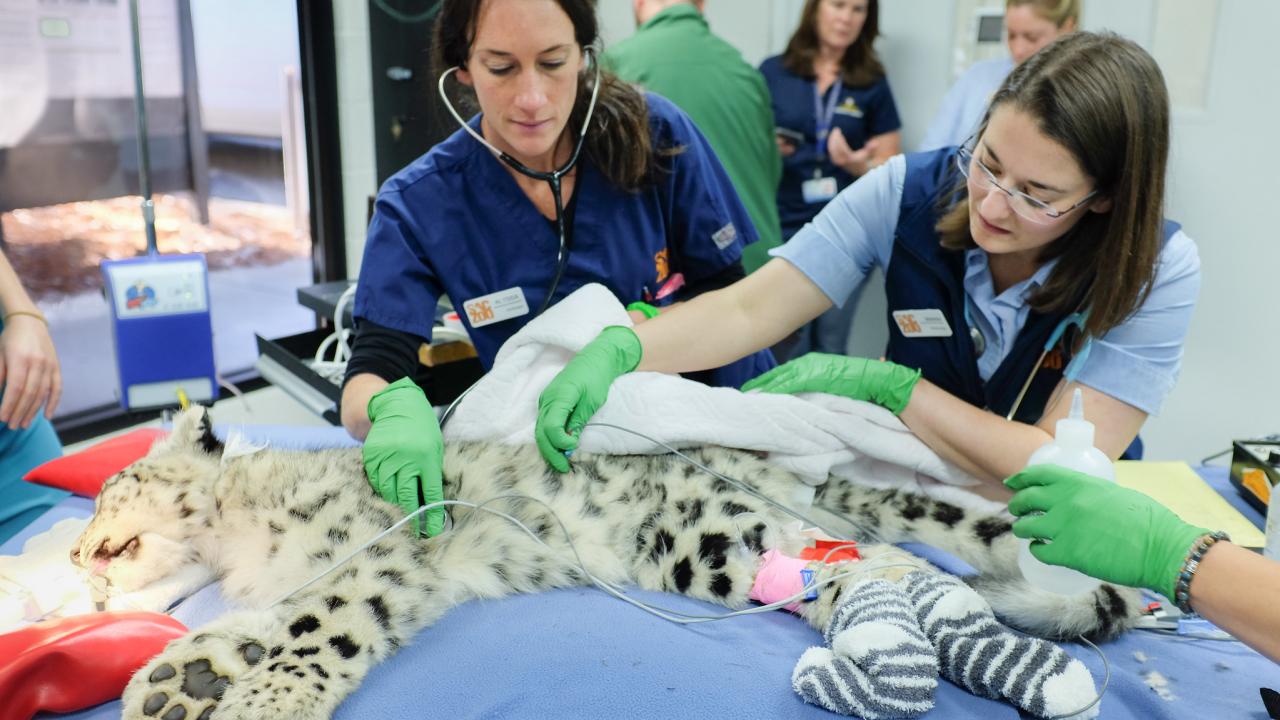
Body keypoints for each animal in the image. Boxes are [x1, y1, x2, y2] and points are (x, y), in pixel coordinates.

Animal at [74, 407, 1136, 712]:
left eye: (110, 495)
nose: (80, 558)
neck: (241, 543)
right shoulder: (303, 582)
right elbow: (257, 625)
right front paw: (176, 678)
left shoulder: (373, 563)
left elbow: (315, 631)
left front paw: (256, 700)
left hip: (719, 539)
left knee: (897, 566)